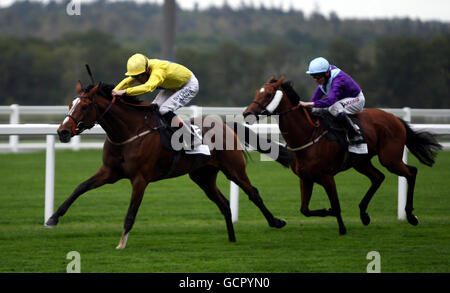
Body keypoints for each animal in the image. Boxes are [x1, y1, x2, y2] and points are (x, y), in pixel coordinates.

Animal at [45, 81, 288, 248]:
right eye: (71, 104)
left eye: (85, 106)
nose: (62, 132)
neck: (129, 133)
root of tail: (225, 125)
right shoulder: (109, 172)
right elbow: (80, 188)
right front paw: (53, 218)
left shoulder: (140, 179)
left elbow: (131, 212)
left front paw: (121, 243)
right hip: (203, 176)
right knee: (224, 204)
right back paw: (231, 238)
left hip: (233, 169)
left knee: (253, 192)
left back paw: (276, 222)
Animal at [244, 76, 442, 234]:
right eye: (257, 92)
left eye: (268, 95)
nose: (247, 113)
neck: (307, 135)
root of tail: (395, 118)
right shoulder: (305, 178)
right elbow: (305, 209)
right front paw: (327, 211)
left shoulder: (327, 176)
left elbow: (336, 205)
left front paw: (342, 228)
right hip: (361, 162)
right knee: (378, 177)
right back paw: (364, 214)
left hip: (390, 159)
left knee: (411, 172)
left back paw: (411, 215)